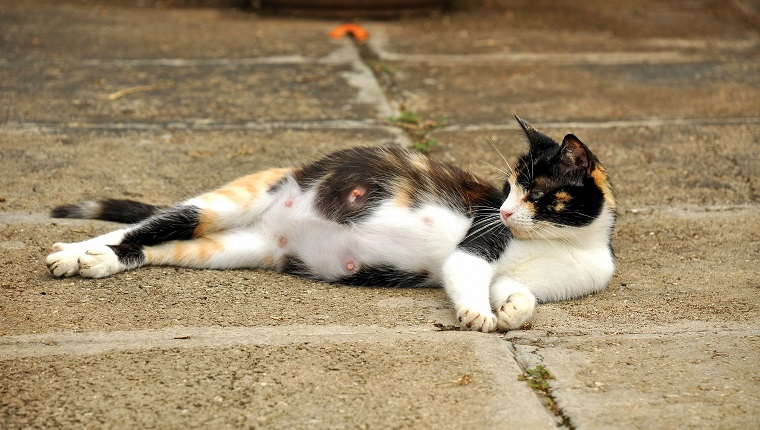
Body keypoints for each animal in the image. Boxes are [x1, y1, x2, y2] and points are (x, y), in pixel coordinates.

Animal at [43, 116, 616, 332]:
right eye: (509, 187)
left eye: (535, 193)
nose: (503, 211)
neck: (570, 243)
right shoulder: (476, 246)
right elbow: (468, 273)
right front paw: (476, 313)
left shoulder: (519, 274)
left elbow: (520, 294)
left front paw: (512, 311)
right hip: (234, 199)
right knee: (156, 223)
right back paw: (80, 252)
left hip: (232, 248)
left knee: (165, 244)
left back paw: (93, 260)